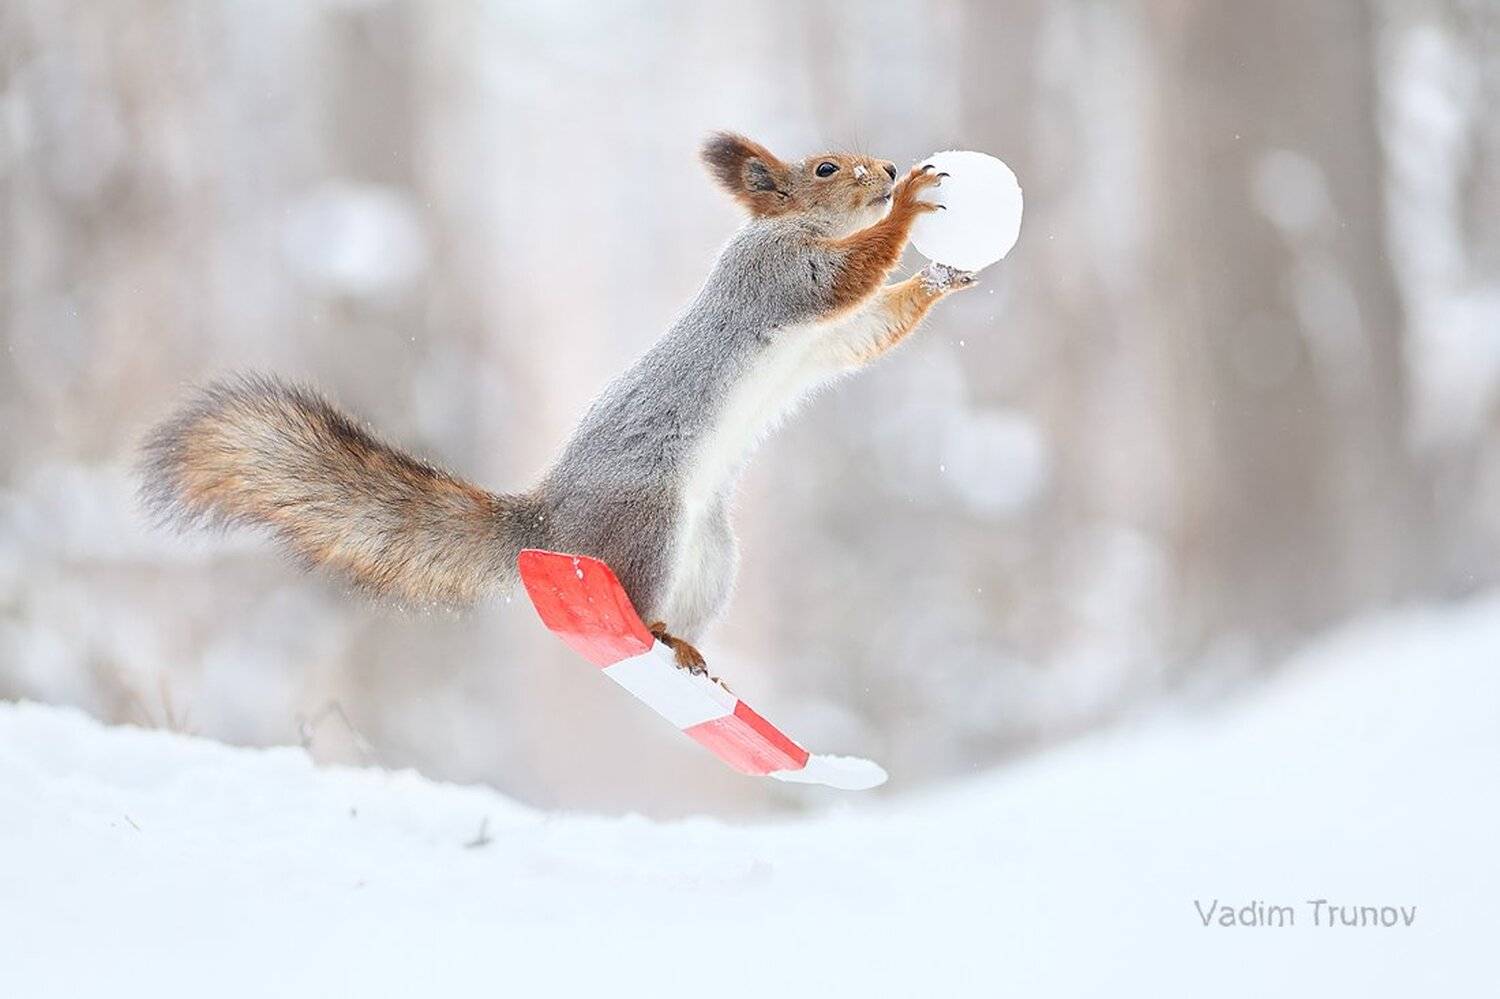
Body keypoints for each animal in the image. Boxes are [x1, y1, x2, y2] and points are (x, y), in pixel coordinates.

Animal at [141, 133, 976, 672]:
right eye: (828, 167)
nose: (888, 166)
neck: (796, 224)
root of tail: (550, 526)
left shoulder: (829, 342)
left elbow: (870, 327)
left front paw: (945, 277)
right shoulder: (771, 274)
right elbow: (843, 278)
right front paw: (908, 203)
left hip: (712, 557)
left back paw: (694, 651)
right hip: (647, 526)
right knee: (633, 611)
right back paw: (660, 636)